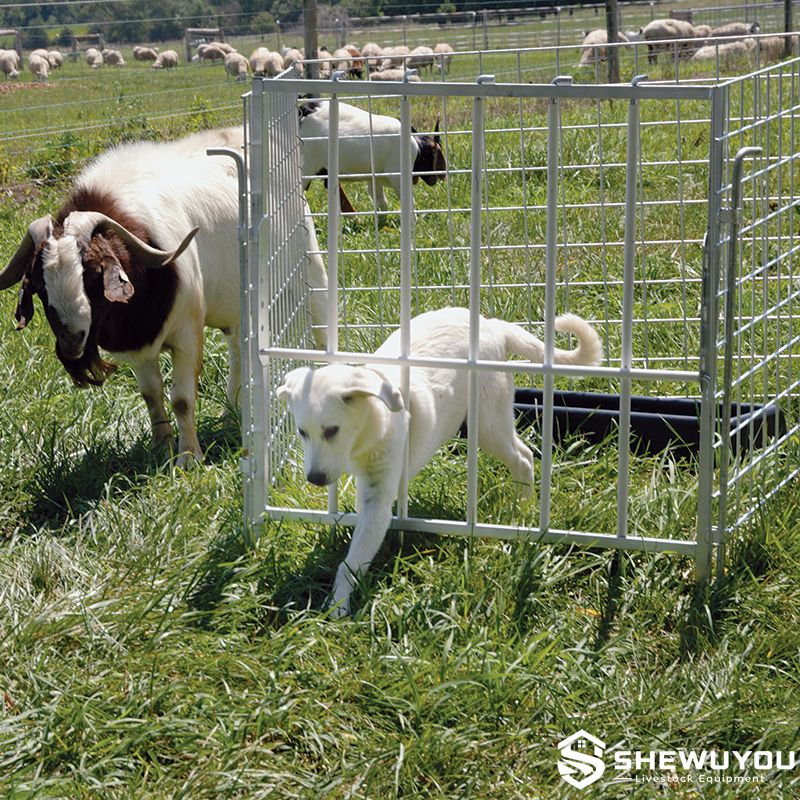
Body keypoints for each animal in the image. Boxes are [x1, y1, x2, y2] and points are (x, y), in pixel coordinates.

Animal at [0, 127, 328, 466]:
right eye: (39, 285)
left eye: (92, 273)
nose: (72, 337)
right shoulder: (137, 350)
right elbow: (151, 395)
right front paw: (161, 447)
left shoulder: (187, 333)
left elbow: (181, 399)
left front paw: (189, 457)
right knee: (239, 349)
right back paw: (233, 408)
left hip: (310, 266)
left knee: (321, 323)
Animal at [299, 100, 446, 213]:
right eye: (433, 153)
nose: (440, 177)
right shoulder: (397, 176)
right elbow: (409, 203)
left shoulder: (374, 178)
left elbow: (381, 203)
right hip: (308, 166)